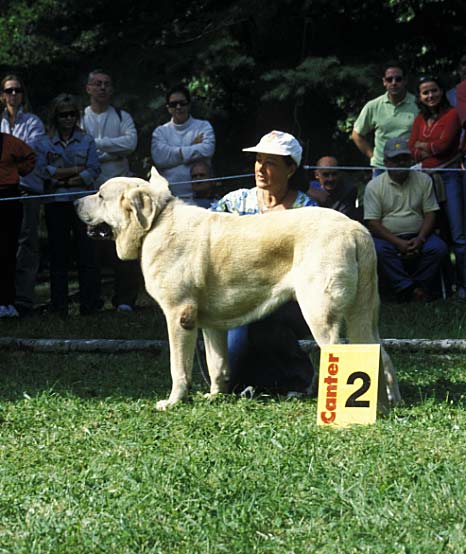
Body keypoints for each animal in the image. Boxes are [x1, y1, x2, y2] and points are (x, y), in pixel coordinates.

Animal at [75, 170, 400, 408]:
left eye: (101, 195)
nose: (75, 203)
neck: (155, 224)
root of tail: (356, 229)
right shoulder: (210, 325)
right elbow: (217, 364)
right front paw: (214, 395)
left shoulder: (179, 316)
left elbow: (178, 367)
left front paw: (172, 402)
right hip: (364, 315)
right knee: (381, 354)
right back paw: (388, 403)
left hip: (320, 314)